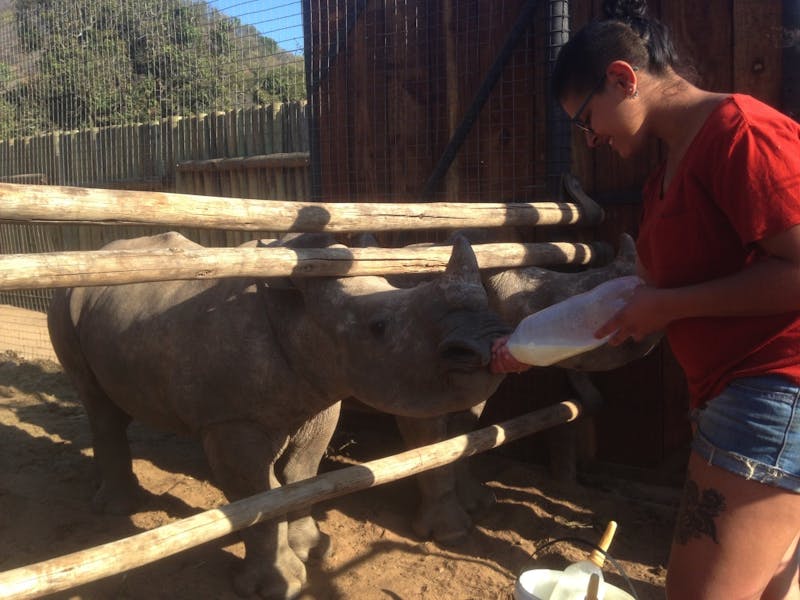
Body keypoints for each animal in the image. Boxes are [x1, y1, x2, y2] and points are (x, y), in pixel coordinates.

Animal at [47, 231, 510, 600]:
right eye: (378, 326)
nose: (486, 342)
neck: (297, 312)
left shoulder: (321, 398)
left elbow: (301, 476)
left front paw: (315, 549)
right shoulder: (231, 422)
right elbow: (259, 496)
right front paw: (279, 586)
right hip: (63, 299)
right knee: (98, 405)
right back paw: (117, 509)